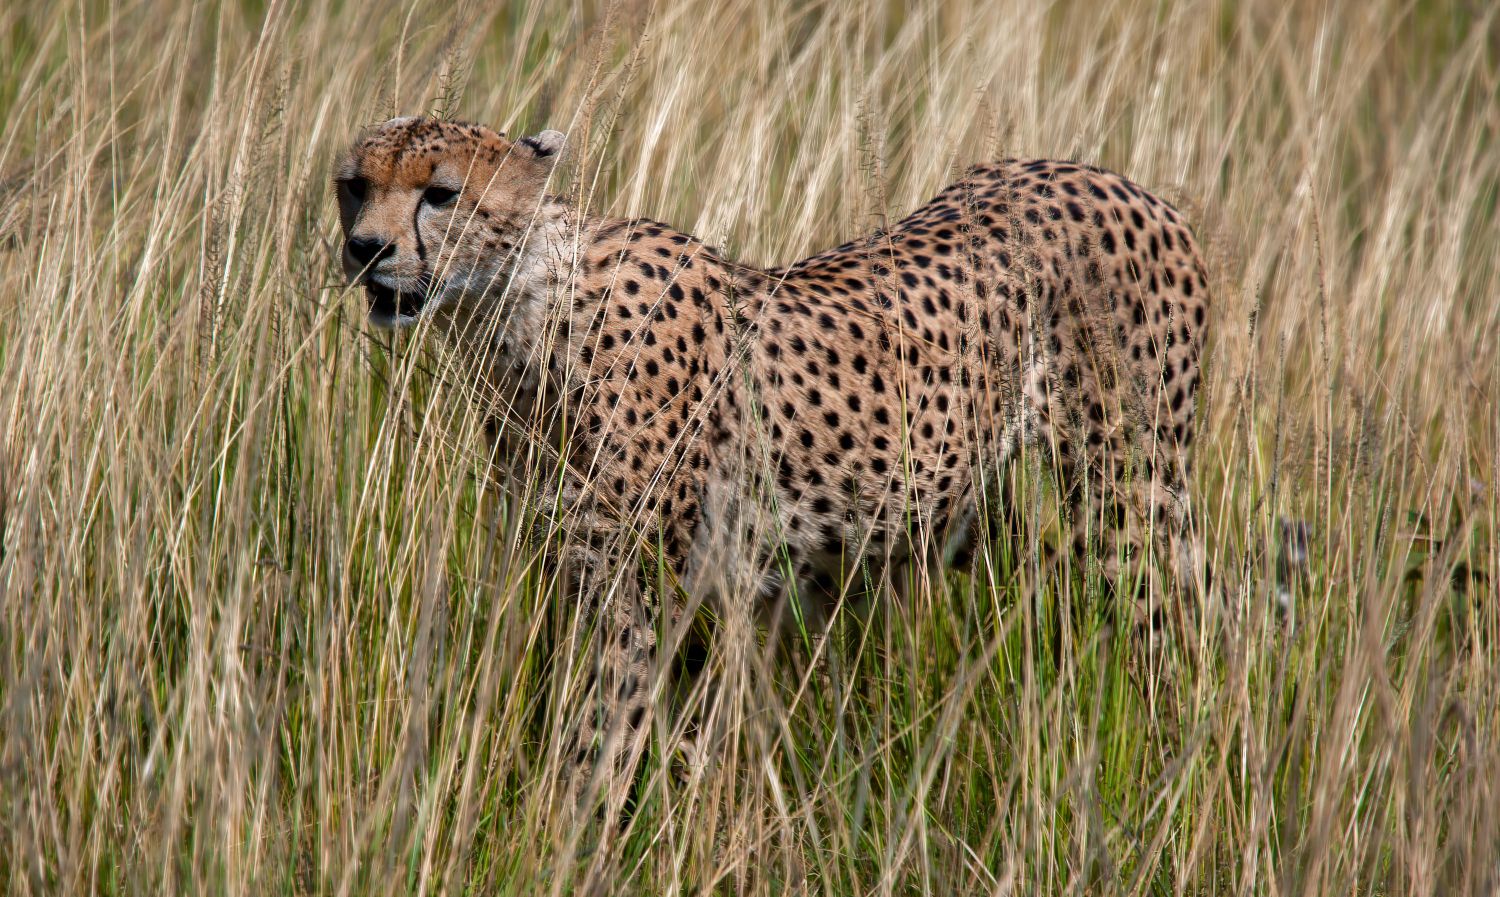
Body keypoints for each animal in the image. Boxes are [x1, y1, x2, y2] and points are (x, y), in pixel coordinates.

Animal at [334, 116, 1212, 810]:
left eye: (441, 194)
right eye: (354, 185)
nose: (365, 249)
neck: (524, 307)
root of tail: (1116, 180)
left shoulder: (645, 599)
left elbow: (603, 742)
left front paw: (562, 841)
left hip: (1132, 497)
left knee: (1180, 634)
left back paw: (1180, 763)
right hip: (961, 506)